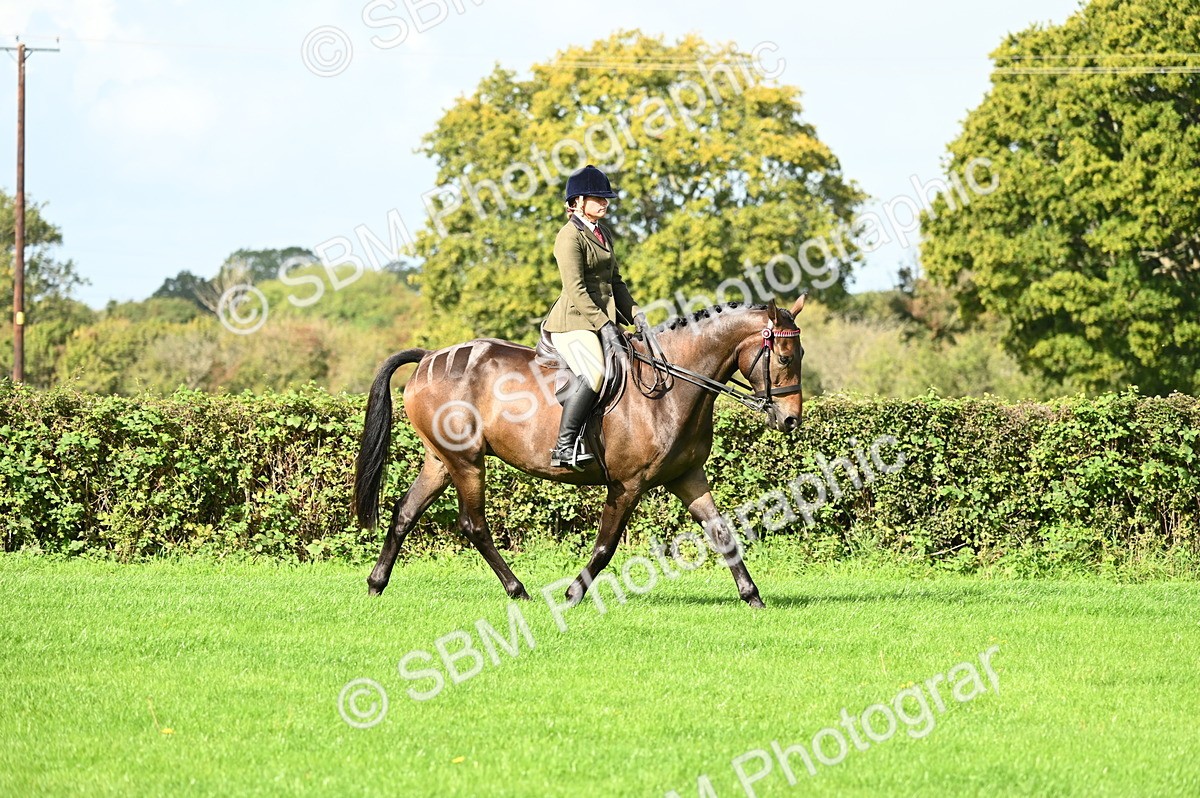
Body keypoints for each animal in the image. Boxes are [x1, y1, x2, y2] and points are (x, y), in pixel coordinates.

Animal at [352, 295, 807, 608]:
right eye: (785, 357)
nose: (790, 421)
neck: (673, 387)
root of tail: (430, 356)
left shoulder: (688, 476)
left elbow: (722, 533)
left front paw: (752, 596)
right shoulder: (627, 484)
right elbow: (605, 547)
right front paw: (572, 594)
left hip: (441, 461)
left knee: (405, 512)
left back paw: (376, 585)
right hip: (467, 461)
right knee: (473, 524)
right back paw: (518, 590)